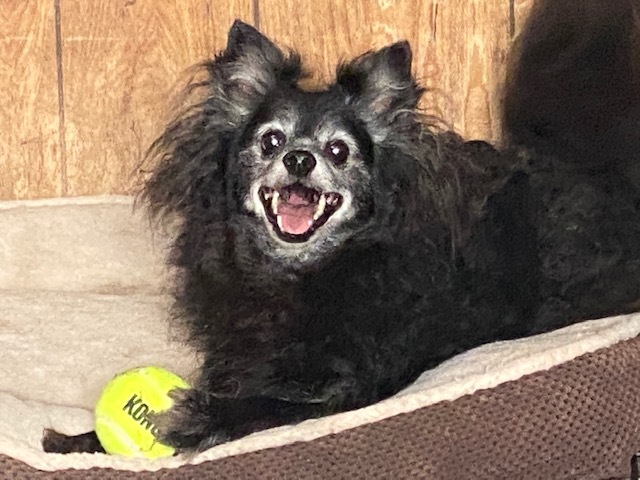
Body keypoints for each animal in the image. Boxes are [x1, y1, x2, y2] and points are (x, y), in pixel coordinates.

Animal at [42, 0, 640, 454]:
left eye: (337, 150)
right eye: (271, 140)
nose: (300, 159)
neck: (296, 277)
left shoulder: (352, 387)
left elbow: (268, 407)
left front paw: (203, 419)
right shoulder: (241, 360)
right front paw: (76, 443)